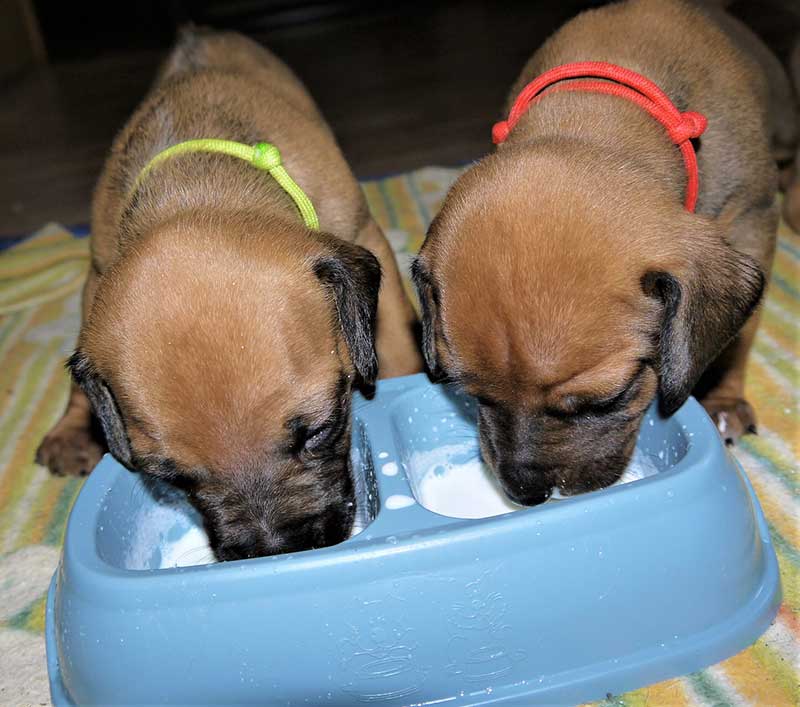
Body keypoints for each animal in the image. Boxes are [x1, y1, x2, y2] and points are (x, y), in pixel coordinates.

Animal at [37, 27, 424, 560]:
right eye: (173, 476)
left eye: (318, 432)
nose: (278, 550)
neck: (197, 192)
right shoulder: (96, 276)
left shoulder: (365, 235)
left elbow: (391, 338)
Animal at [416, 0, 780, 508]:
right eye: (473, 394)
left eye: (606, 400)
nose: (525, 492)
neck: (594, 113)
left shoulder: (751, 219)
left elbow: (740, 337)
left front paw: (725, 400)